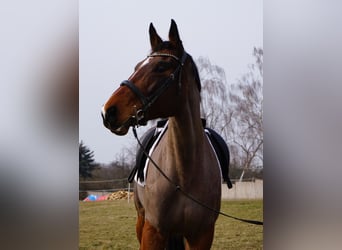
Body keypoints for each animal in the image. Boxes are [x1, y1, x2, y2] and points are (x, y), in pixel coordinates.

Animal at [101, 20, 222, 250]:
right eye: (137, 66)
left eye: (161, 67)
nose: (108, 111)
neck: (184, 175)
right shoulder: (153, 231)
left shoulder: (202, 235)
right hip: (141, 220)